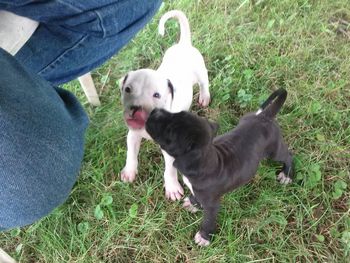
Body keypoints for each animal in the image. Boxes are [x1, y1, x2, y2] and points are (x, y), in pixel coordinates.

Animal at [119, 9, 211, 201]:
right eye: (128, 90)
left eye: (157, 95)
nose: (135, 111)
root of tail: (183, 44)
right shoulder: (133, 135)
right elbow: (131, 153)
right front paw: (129, 172)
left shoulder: (171, 148)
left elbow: (170, 169)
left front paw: (172, 188)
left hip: (200, 71)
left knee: (204, 84)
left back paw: (205, 98)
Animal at [144, 89, 292, 248]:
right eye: (177, 113)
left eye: (169, 133)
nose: (154, 111)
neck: (206, 160)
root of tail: (265, 116)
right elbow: (196, 196)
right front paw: (193, 203)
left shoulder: (212, 205)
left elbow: (209, 220)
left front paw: (204, 237)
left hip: (274, 151)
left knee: (289, 155)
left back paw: (287, 174)